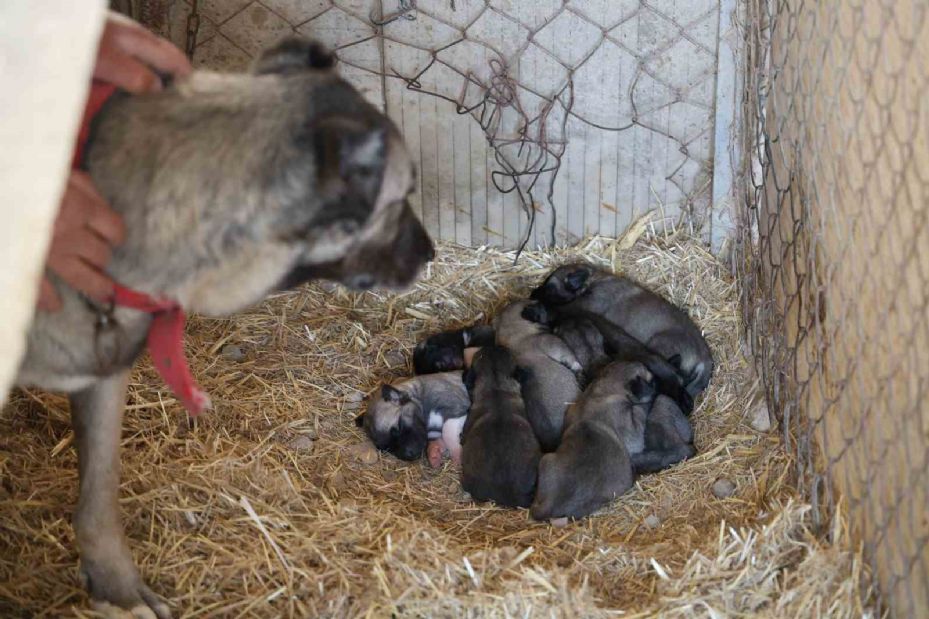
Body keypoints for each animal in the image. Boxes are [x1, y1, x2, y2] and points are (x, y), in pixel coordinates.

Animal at [528, 262, 712, 398]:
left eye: (548, 287)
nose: (531, 293)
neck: (594, 279)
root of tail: (705, 359)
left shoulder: (582, 305)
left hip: (659, 345)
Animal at [528, 360, 652, 520]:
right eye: (650, 379)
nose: (655, 385)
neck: (605, 388)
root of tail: (550, 507)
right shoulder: (633, 431)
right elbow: (640, 411)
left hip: (545, 460)